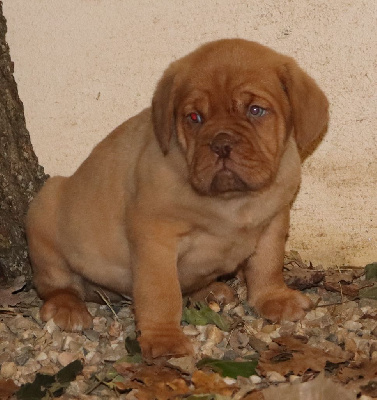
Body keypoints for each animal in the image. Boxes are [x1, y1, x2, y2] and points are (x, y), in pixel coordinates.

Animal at [25, 39, 326, 360]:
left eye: (256, 110)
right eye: (194, 117)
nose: (221, 144)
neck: (232, 201)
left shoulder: (274, 221)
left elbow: (267, 266)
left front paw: (273, 298)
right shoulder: (155, 238)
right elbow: (161, 292)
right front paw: (164, 338)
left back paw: (210, 291)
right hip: (45, 214)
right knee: (57, 284)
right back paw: (67, 307)